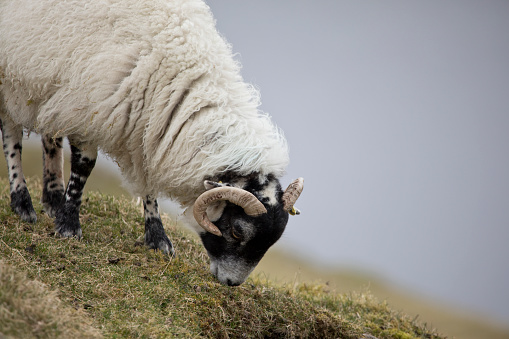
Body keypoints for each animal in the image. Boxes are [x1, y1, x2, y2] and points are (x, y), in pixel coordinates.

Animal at [0, 0, 302, 286]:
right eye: (238, 230)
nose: (231, 283)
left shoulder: (147, 130)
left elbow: (148, 185)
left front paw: (158, 239)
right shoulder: (87, 107)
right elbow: (84, 167)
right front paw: (68, 226)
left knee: (50, 136)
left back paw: (51, 198)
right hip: (13, 77)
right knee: (11, 134)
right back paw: (23, 202)